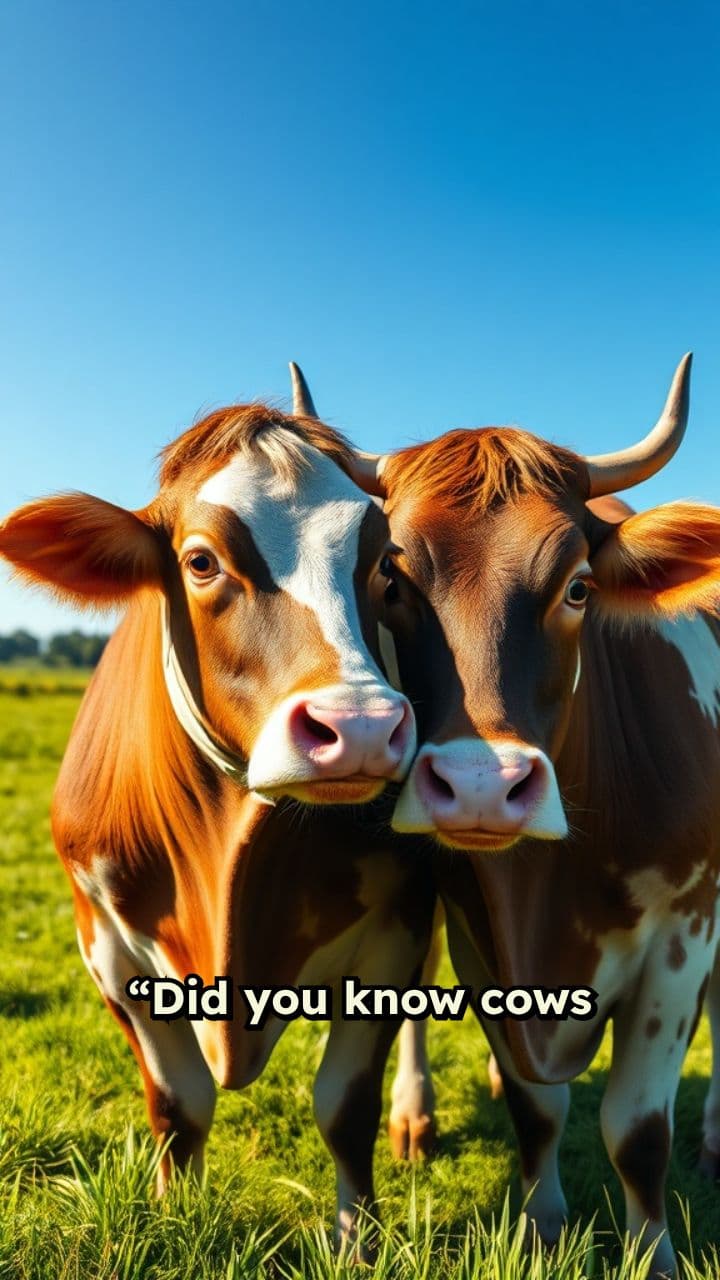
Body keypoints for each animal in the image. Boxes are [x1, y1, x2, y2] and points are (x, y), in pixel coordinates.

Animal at [0, 368, 437, 1247]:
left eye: (385, 569)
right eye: (200, 562)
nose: (360, 727)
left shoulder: (396, 928)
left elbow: (344, 1107)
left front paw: (356, 1239)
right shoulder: (106, 944)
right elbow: (180, 1106)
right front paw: (174, 1215)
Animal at [352, 354, 720, 1277]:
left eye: (578, 586)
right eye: (391, 581)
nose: (482, 785)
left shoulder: (681, 935)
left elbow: (636, 1133)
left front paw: (654, 1256)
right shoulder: (480, 936)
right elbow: (537, 1112)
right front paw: (544, 1228)